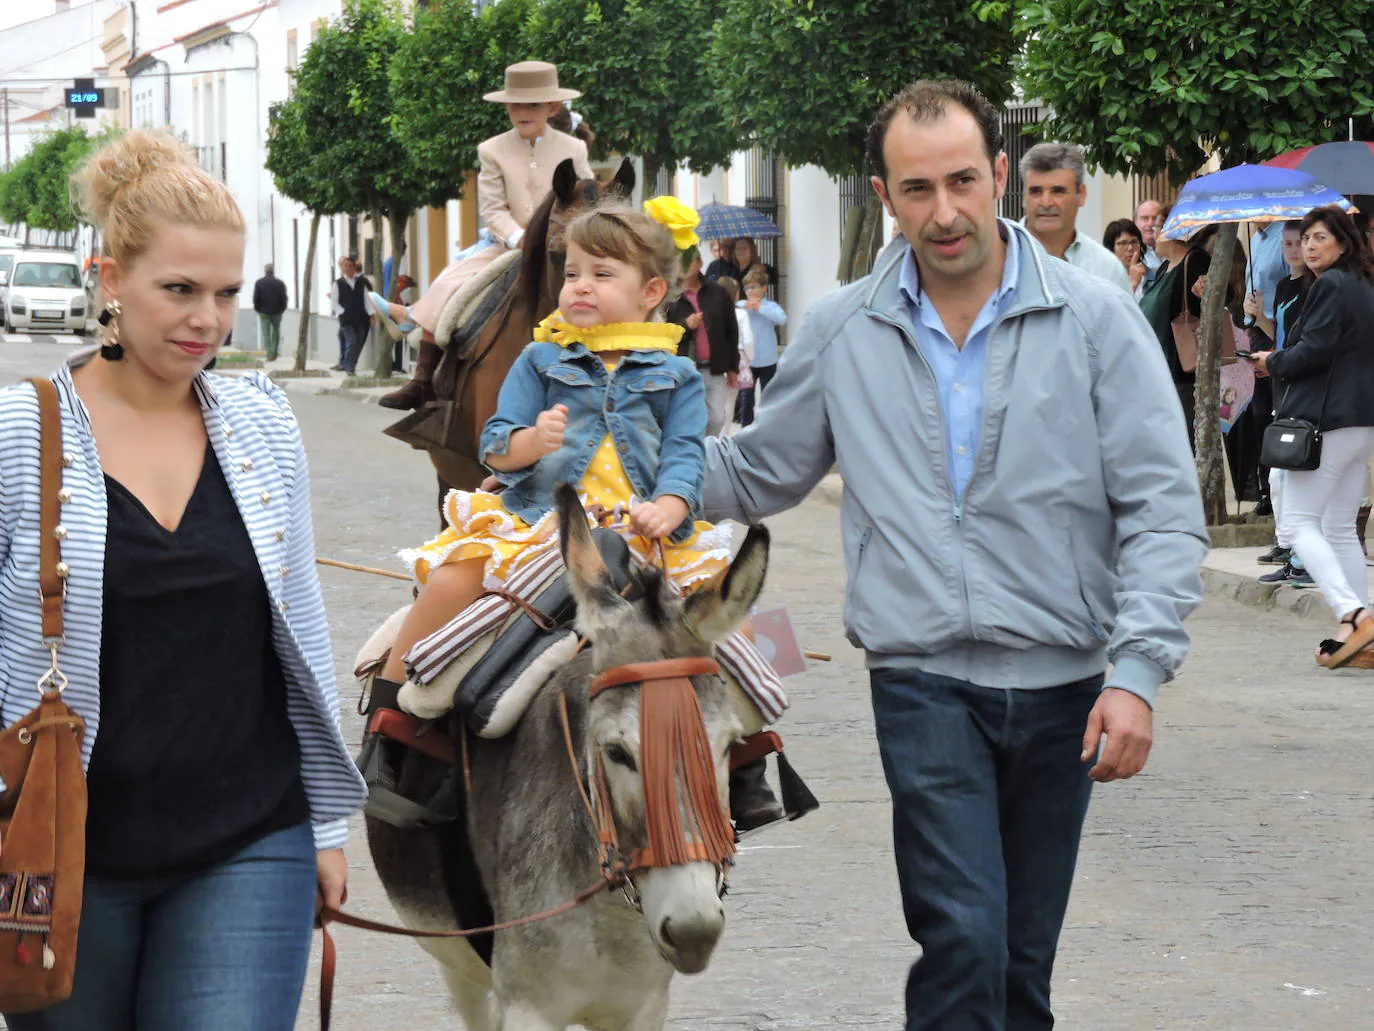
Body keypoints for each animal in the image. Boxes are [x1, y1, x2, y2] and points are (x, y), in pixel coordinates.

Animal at [368, 486, 774, 1031]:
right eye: (616, 752)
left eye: (729, 746)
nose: (693, 932)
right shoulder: (528, 1006)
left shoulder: (644, 1005)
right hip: (460, 967)